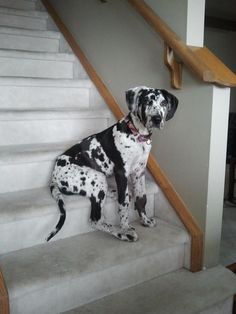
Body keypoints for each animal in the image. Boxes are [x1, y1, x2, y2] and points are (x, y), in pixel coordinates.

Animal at [47, 87, 178, 242]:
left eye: (163, 103)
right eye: (147, 101)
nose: (157, 119)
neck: (137, 137)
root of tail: (54, 177)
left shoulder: (139, 172)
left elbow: (141, 198)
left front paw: (145, 220)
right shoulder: (122, 173)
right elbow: (123, 203)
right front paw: (125, 227)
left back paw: (112, 193)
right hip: (96, 177)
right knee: (95, 220)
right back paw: (122, 234)